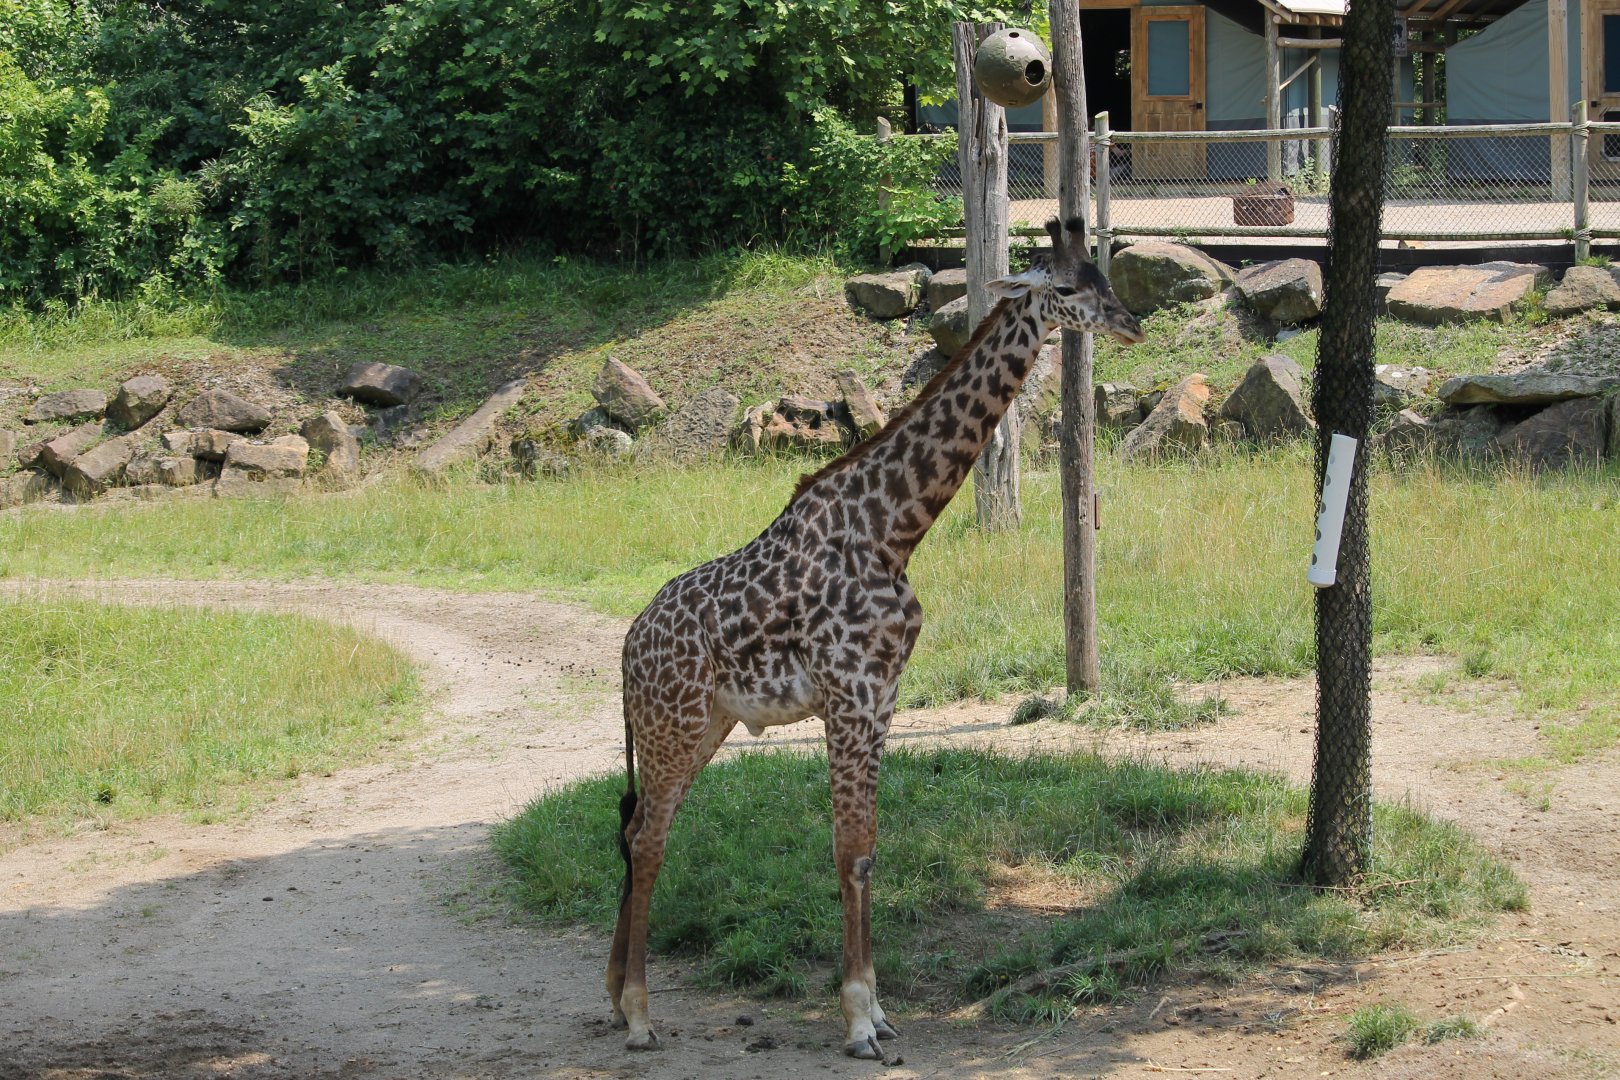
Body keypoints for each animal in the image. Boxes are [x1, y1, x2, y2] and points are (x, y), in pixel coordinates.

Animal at [605, 218, 1144, 1059]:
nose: (1130, 324)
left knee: (635, 831)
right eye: (1064, 287)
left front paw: (880, 1011)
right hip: (673, 725)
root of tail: (627, 646)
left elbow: (870, 846)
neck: (895, 530)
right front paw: (859, 1021)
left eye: (1104, 278)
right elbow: (849, 849)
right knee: (649, 839)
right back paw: (636, 1016)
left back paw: (615, 998)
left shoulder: (884, 697)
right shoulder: (850, 696)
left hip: (703, 726)